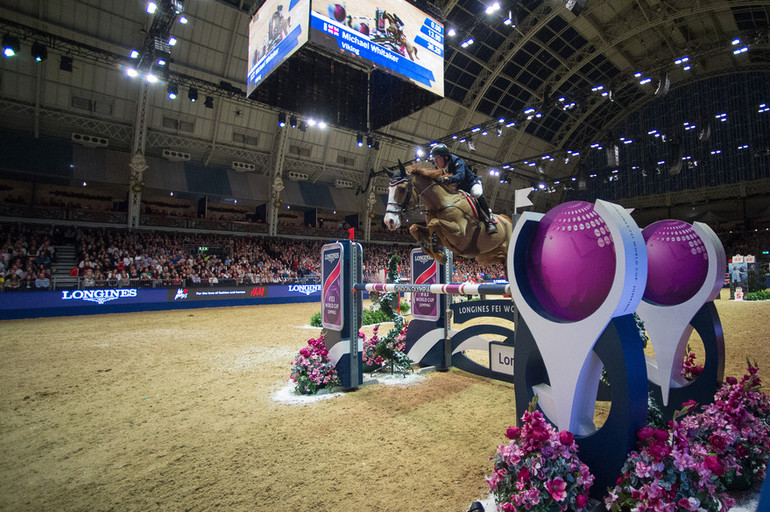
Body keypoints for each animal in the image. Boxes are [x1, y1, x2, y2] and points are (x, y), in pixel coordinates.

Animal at [382, 164, 510, 266]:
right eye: (388, 189)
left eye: (402, 189)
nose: (389, 221)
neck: (442, 203)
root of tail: (507, 219)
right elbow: (414, 228)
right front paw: (434, 252)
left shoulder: (460, 235)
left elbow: (434, 223)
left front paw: (438, 254)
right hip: (483, 257)